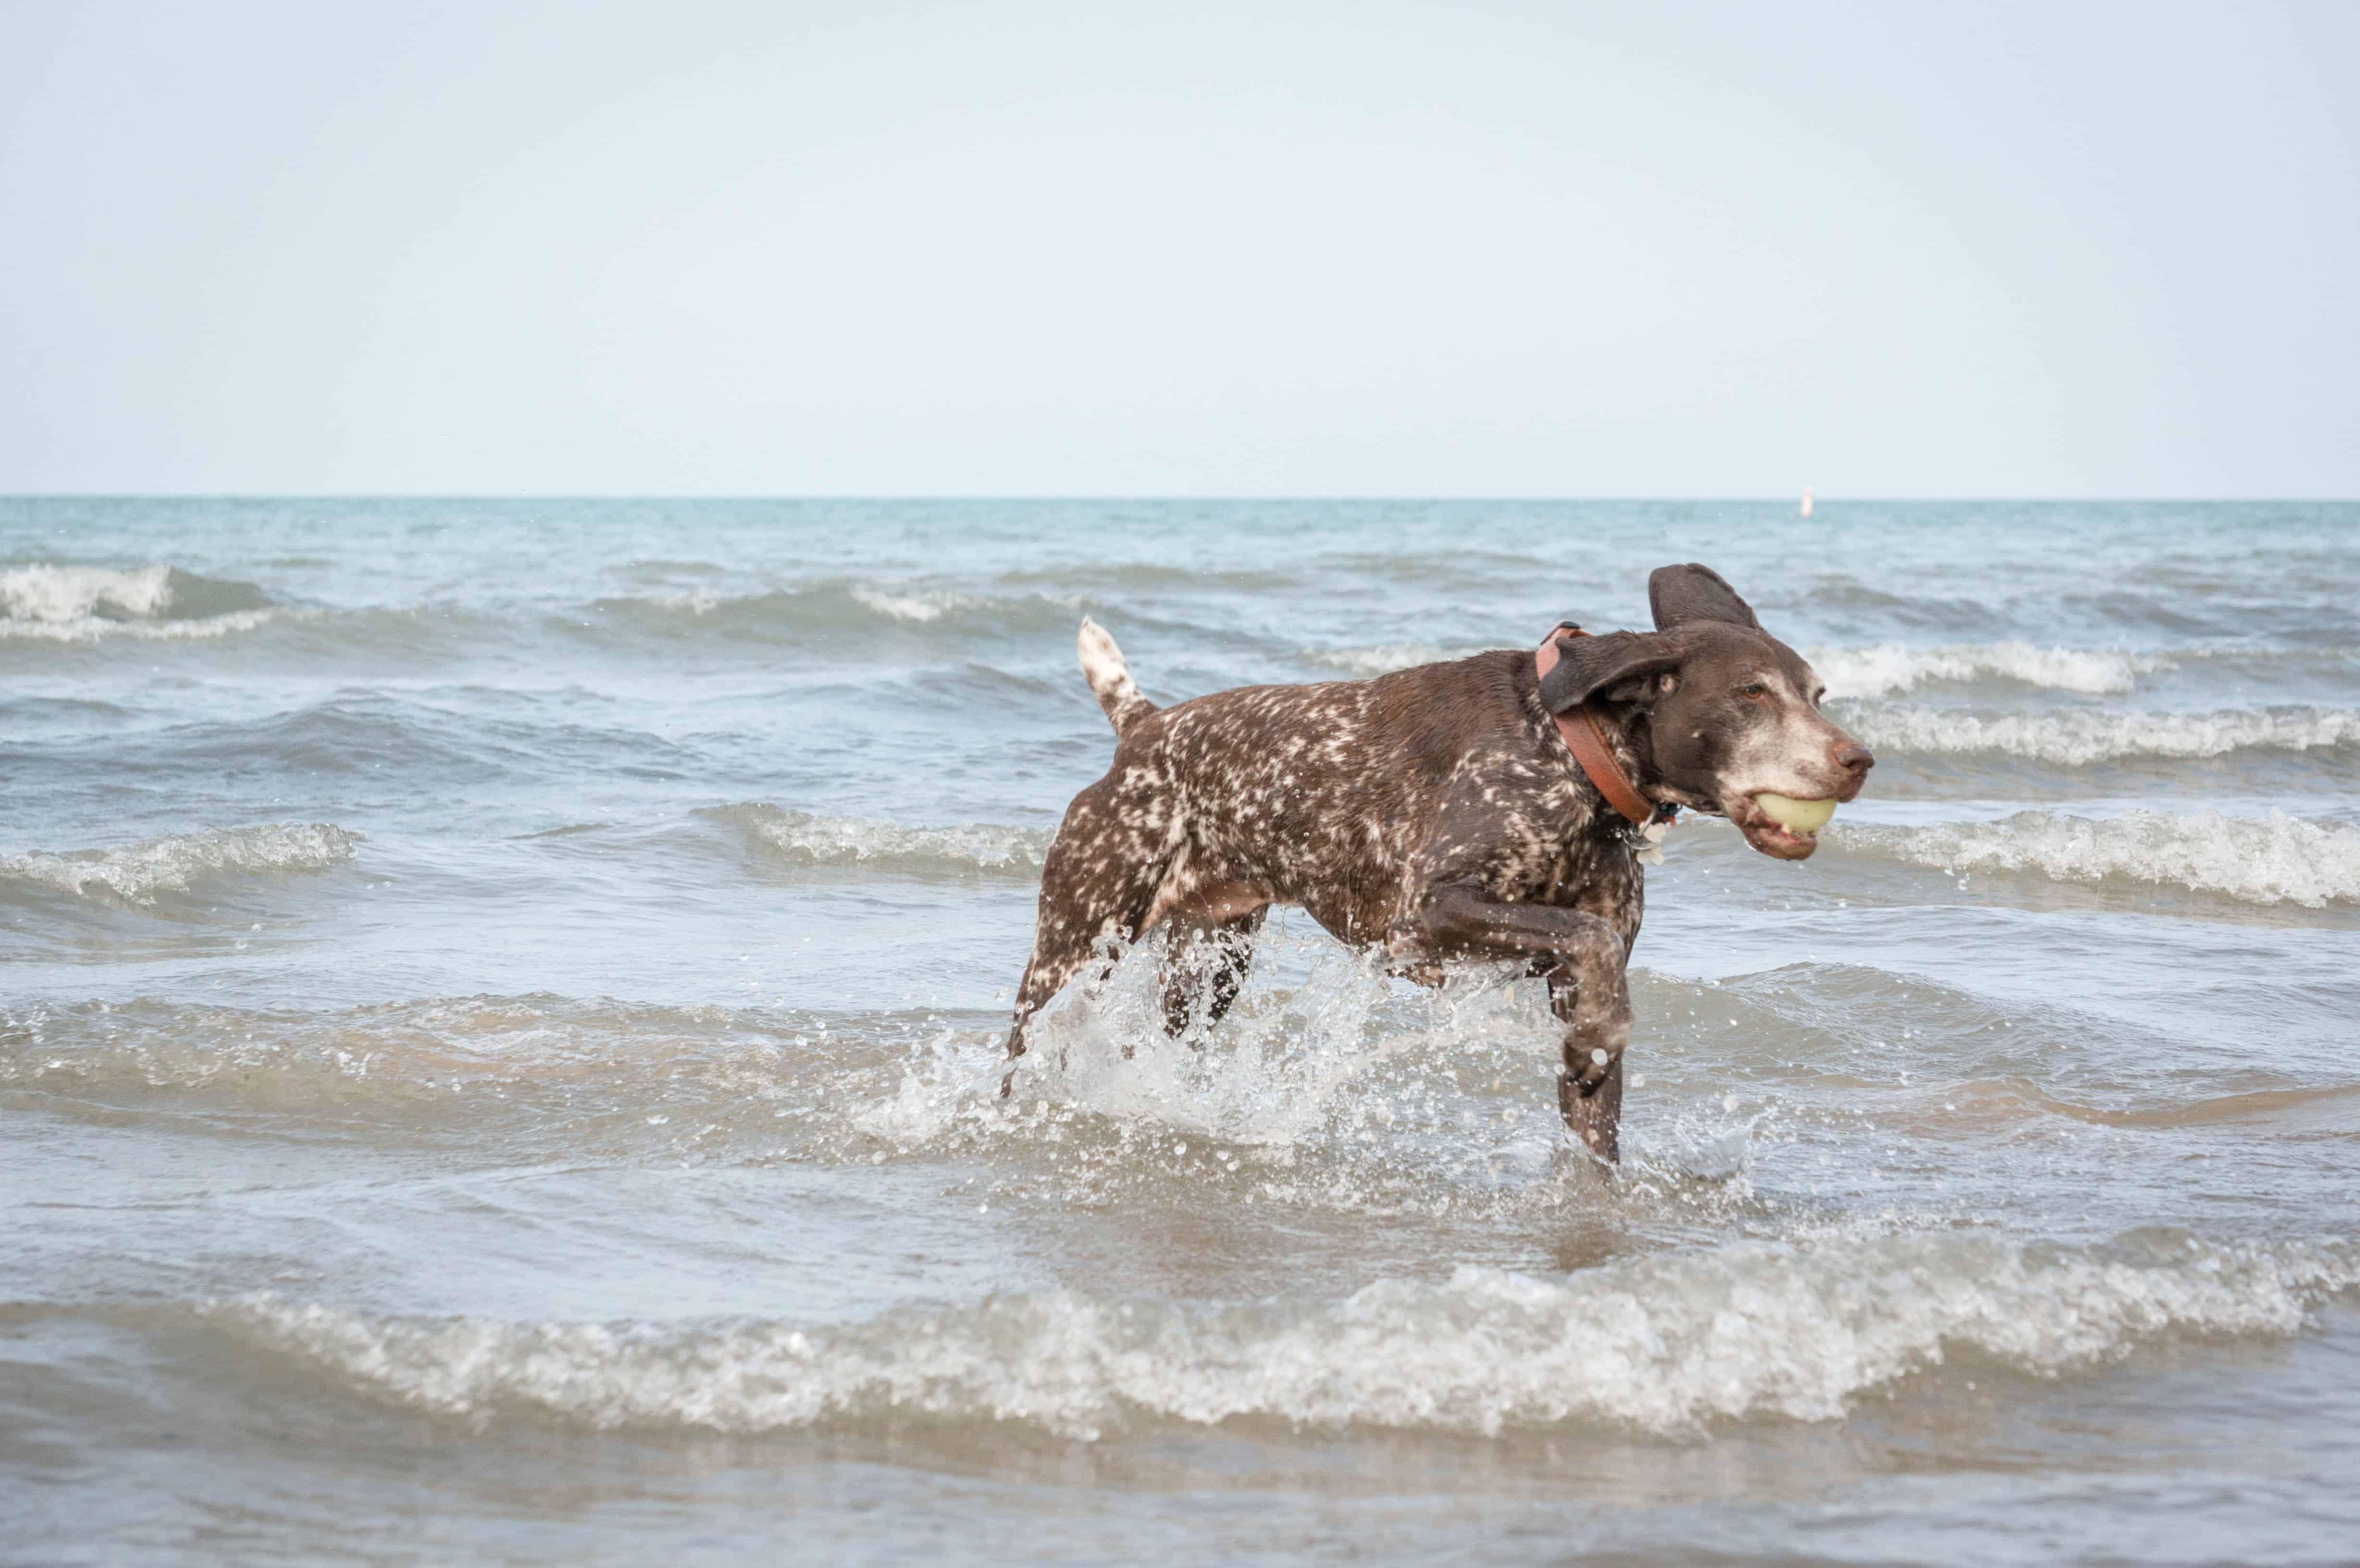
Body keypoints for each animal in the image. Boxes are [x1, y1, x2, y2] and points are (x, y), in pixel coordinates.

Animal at [1005, 569, 1869, 1157]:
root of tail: (1144, 728)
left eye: (1817, 693)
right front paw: (1600, 1030)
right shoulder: (1423, 922)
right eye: (1752, 694)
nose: (1859, 760)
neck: (1571, 755)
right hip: (1075, 945)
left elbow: (1594, 1118)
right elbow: (1582, 943)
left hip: (1205, 972)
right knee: (1021, 1046)